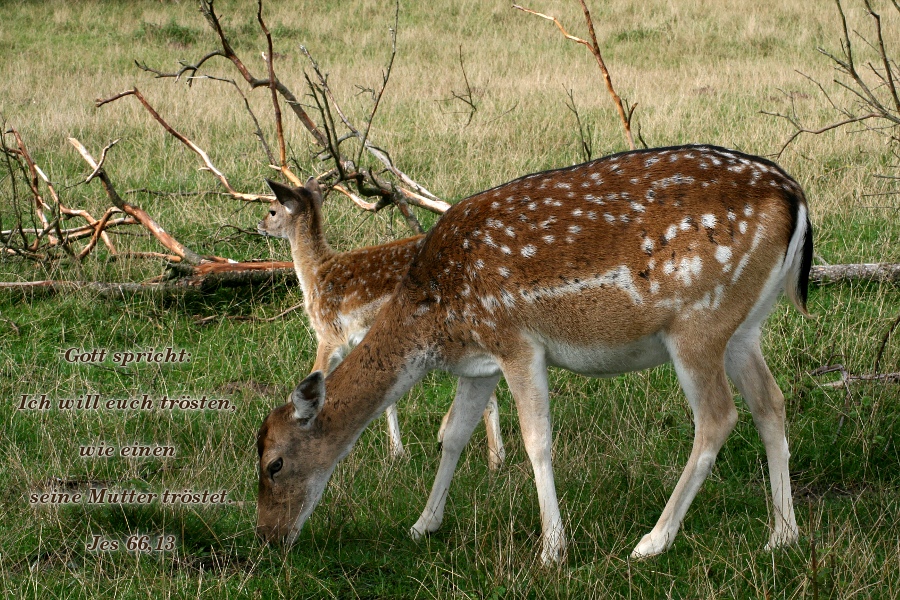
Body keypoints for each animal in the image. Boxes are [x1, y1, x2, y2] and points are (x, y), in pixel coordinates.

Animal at [258, 178, 506, 468]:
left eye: (273, 210)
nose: (259, 224)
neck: (314, 276)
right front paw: (396, 452)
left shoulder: (330, 334)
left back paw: (492, 460)